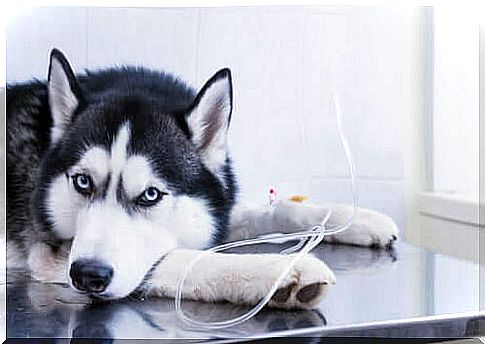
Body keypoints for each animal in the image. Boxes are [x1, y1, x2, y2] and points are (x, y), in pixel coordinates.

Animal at [6, 48, 398, 310]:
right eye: (83, 182)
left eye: (150, 195)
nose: (88, 275)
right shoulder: (54, 256)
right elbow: (183, 259)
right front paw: (278, 272)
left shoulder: (216, 207)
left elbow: (277, 210)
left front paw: (358, 219)